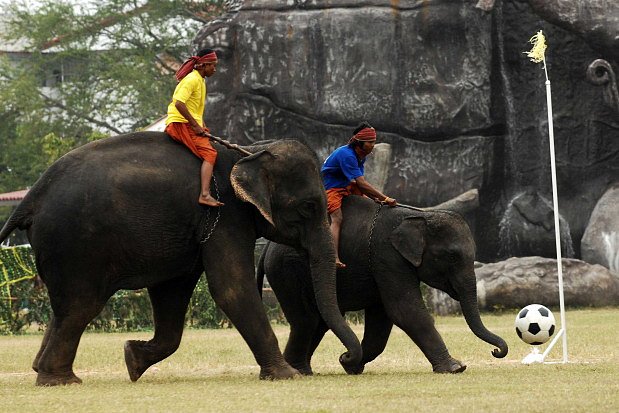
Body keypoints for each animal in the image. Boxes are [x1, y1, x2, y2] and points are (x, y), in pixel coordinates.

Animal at [0, 133, 360, 386]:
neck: (249, 151)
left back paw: (43, 369)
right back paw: (60, 380)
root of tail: (30, 198)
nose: (345, 359)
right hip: (76, 244)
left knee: (64, 308)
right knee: (81, 306)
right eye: (309, 207)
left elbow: (172, 291)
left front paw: (132, 359)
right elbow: (231, 288)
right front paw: (287, 376)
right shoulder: (226, 215)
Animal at [256, 196, 508, 374]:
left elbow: (382, 319)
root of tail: (266, 247)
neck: (419, 216)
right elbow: (404, 310)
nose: (495, 351)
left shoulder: (382, 263)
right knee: (306, 319)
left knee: (318, 321)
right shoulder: (386, 255)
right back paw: (299, 371)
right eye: (453, 256)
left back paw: (302, 370)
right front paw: (456, 368)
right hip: (287, 270)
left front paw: (350, 366)